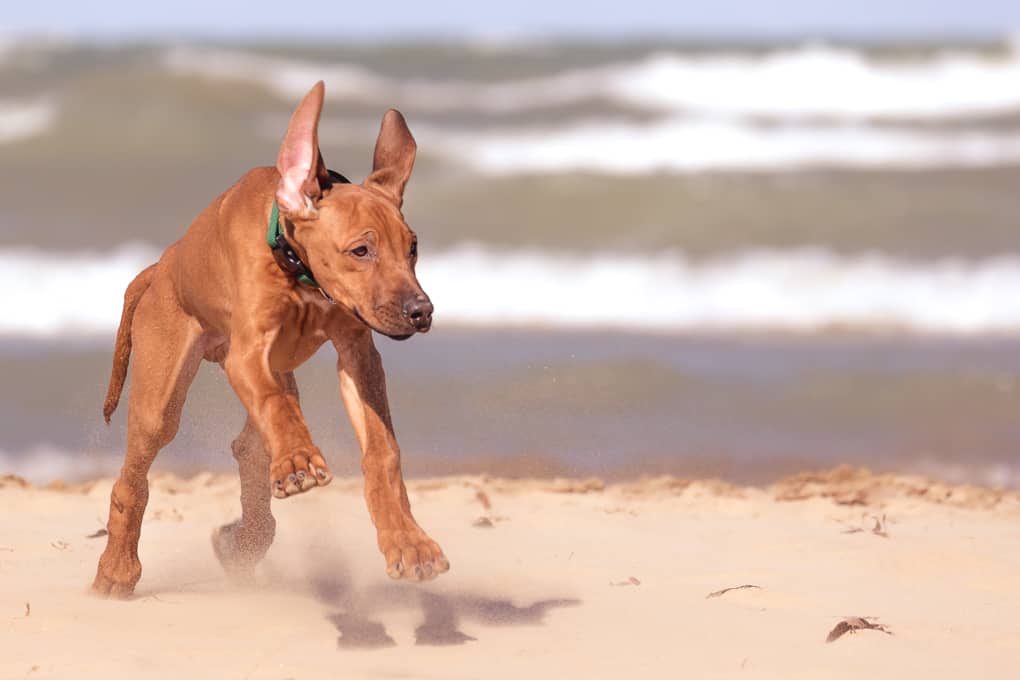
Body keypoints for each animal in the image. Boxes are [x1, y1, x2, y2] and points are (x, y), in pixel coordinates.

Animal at [90, 82, 446, 599]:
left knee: (250, 446)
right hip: (161, 397)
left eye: (413, 247)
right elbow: (274, 406)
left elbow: (383, 451)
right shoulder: (247, 353)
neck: (298, 271)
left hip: (276, 370)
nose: (422, 312)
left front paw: (409, 543)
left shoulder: (358, 353)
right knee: (134, 478)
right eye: (361, 250)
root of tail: (161, 266)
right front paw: (297, 460)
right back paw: (117, 568)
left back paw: (245, 540)